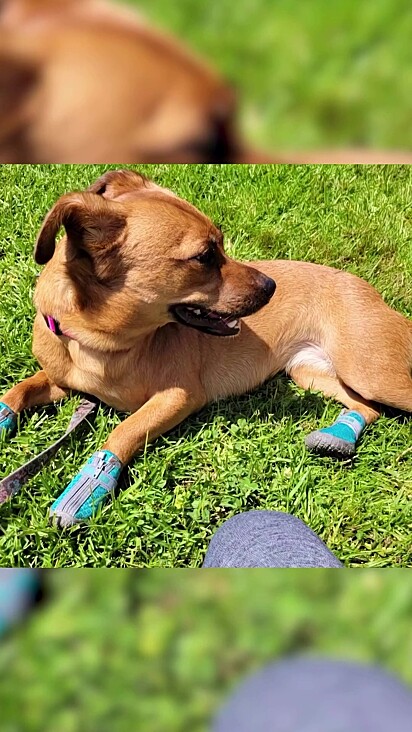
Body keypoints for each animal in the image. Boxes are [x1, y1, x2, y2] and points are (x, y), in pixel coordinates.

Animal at [2, 169, 412, 528]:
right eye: (204, 256)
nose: (271, 286)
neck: (96, 345)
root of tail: (368, 290)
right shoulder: (62, 382)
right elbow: (17, 391)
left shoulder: (179, 397)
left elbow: (124, 430)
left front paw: (86, 489)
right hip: (312, 373)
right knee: (368, 408)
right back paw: (337, 436)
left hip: (371, 371)